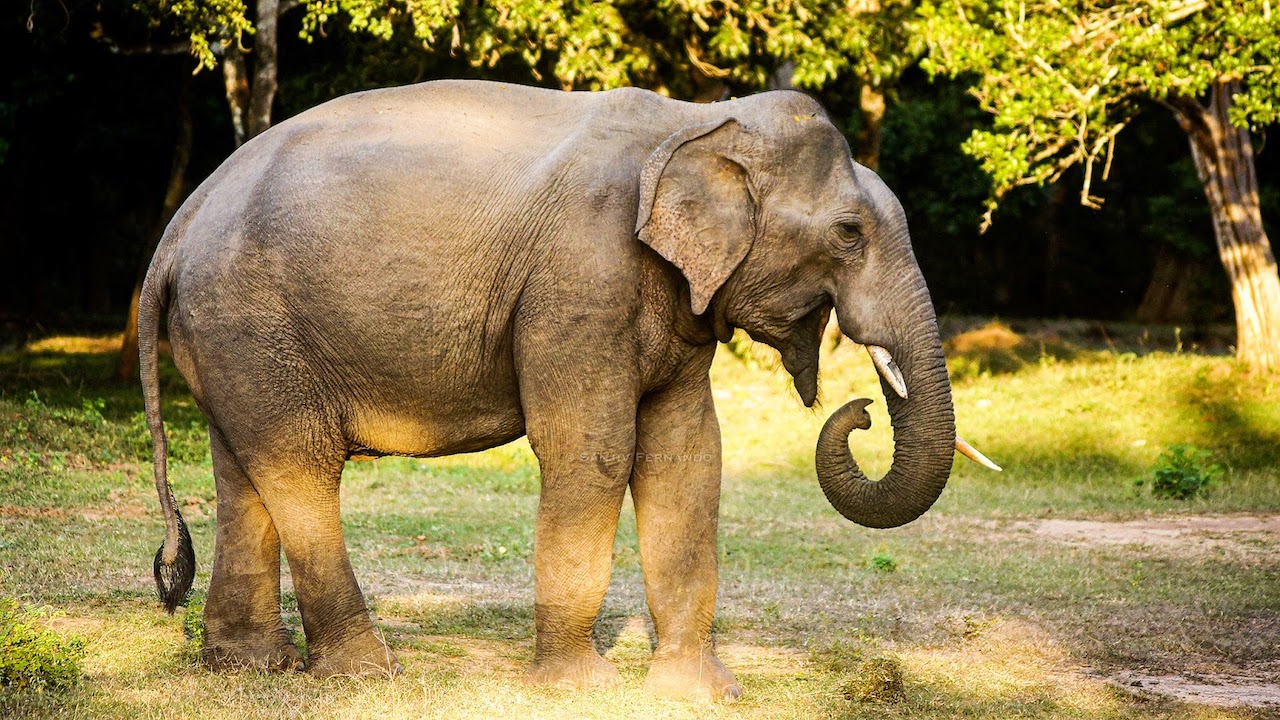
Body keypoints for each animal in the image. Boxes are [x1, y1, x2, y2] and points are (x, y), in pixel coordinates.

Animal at [140, 77, 998, 696]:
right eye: (850, 234)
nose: (860, 411)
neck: (697, 122)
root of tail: (179, 224)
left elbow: (687, 454)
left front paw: (702, 693)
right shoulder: (582, 278)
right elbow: (592, 448)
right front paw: (581, 687)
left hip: (233, 336)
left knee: (243, 471)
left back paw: (251, 668)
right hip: (253, 320)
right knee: (301, 468)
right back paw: (367, 674)